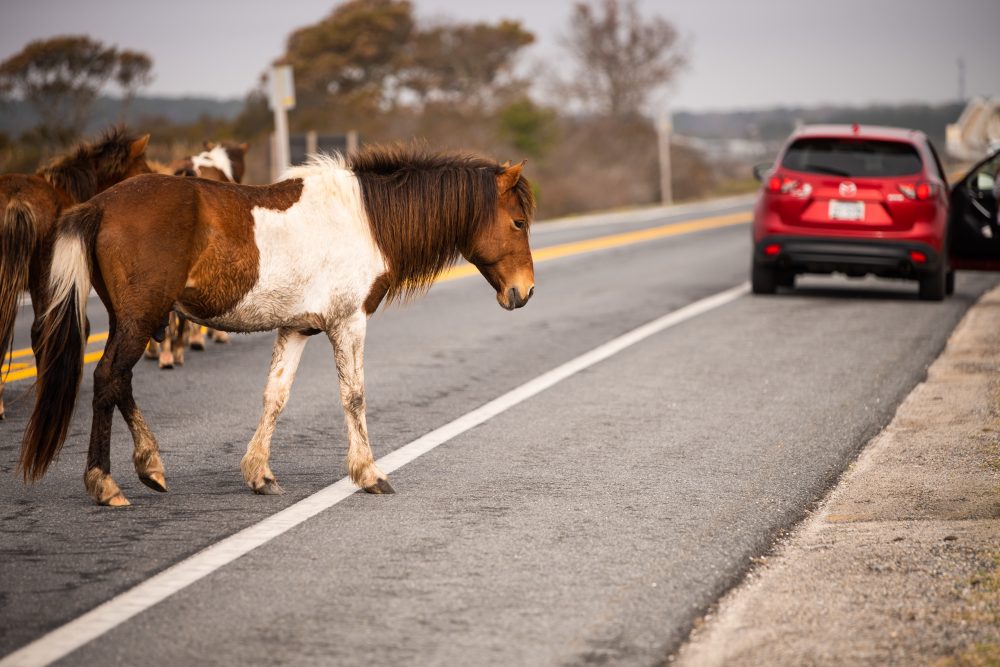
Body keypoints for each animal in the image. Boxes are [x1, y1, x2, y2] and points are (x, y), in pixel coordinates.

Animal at [19, 145, 536, 506]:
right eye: (517, 222)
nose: (525, 291)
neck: (365, 220)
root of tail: (98, 206)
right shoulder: (348, 324)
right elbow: (354, 397)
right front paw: (369, 475)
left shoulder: (297, 329)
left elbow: (275, 396)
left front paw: (259, 474)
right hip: (139, 318)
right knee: (109, 378)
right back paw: (105, 482)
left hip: (136, 320)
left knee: (120, 382)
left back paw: (150, 466)